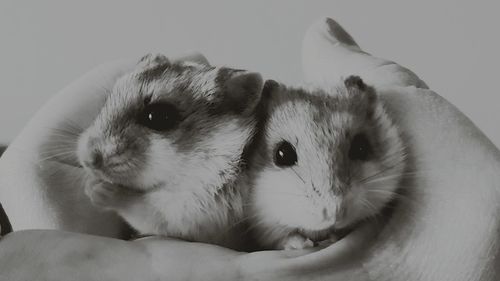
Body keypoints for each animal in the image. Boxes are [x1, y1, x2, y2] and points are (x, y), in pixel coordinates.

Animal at [76, 53, 264, 248]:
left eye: (159, 116)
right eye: (107, 101)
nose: (88, 160)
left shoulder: (194, 206)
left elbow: (144, 208)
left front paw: (95, 188)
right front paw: (90, 183)